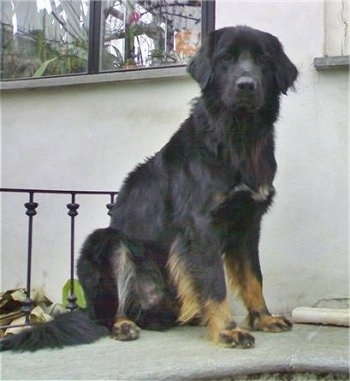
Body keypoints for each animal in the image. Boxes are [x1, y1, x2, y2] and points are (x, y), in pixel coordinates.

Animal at [0, 26, 298, 350]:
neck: (237, 138)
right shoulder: (201, 225)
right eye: (226, 58)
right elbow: (215, 283)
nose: (246, 85)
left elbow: (254, 277)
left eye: (263, 60)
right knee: (110, 312)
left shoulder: (247, 223)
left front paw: (263, 318)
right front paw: (226, 331)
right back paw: (123, 326)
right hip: (105, 241)